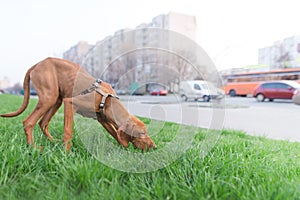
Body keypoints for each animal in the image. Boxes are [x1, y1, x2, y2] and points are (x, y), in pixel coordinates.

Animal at [1, 57, 157, 152]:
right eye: (142, 133)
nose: (154, 147)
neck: (106, 99)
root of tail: (37, 64)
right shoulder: (70, 103)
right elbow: (68, 132)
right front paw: (66, 154)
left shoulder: (103, 119)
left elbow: (116, 135)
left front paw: (125, 152)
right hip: (50, 97)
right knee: (28, 122)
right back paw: (34, 147)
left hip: (57, 99)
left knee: (43, 123)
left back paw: (53, 142)